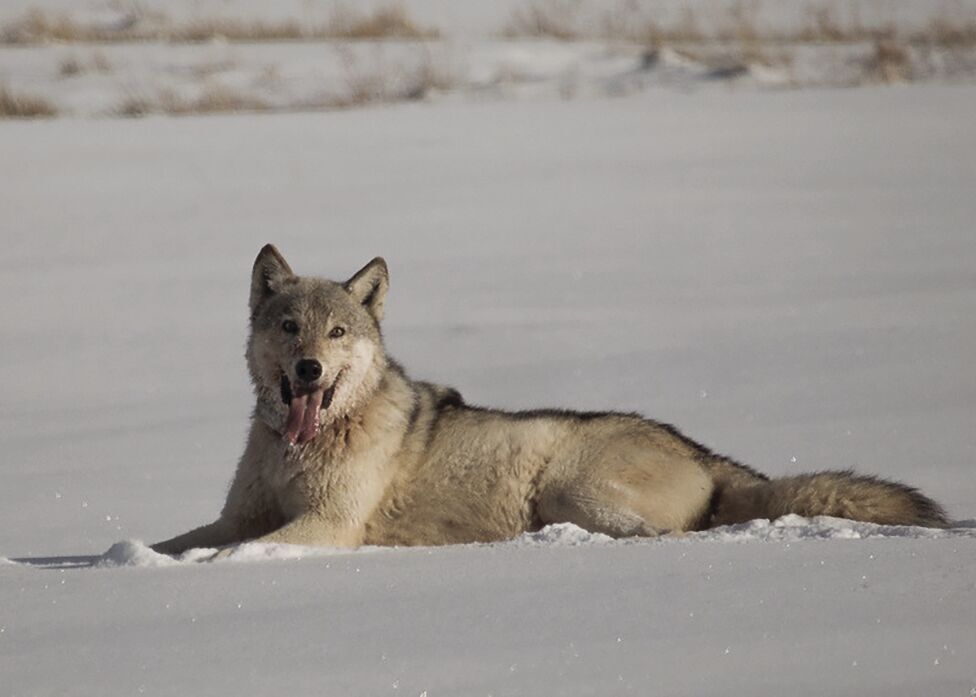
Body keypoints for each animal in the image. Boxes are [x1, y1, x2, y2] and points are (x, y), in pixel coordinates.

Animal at [152, 245, 948, 555]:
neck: (303, 446)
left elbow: (232, 553)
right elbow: (176, 543)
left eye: (338, 331)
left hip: (573, 491)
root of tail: (698, 448)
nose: (311, 369)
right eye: (289, 328)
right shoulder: (239, 515)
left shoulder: (327, 525)